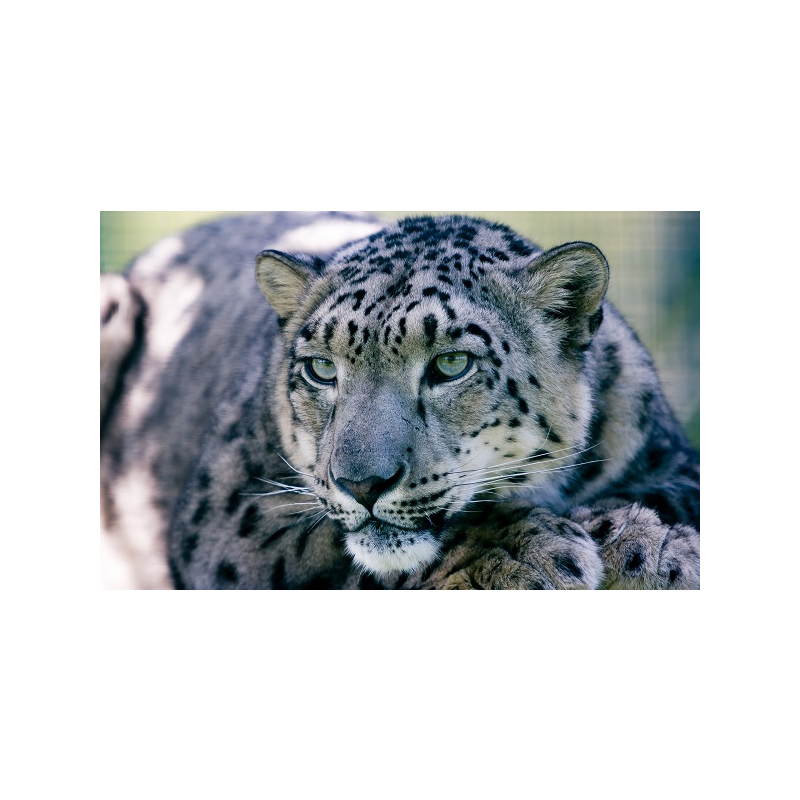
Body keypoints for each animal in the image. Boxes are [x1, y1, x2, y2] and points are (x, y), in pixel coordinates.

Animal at [100, 212, 699, 589]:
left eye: (451, 364)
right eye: (321, 369)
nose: (362, 483)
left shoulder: (672, 456)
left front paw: (649, 543)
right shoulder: (231, 516)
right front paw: (518, 550)